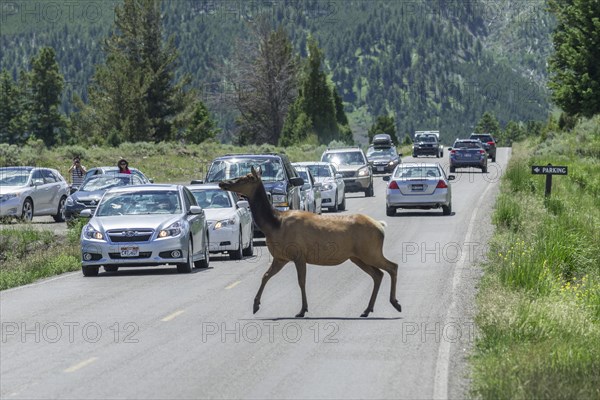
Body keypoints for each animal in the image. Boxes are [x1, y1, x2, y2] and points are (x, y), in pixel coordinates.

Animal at [218, 167, 400, 318]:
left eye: (245, 178)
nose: (222, 182)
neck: (273, 225)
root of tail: (381, 227)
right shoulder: (281, 257)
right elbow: (265, 276)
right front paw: (256, 305)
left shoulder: (298, 254)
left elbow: (301, 281)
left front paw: (302, 310)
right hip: (357, 256)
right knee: (378, 274)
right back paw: (367, 309)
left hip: (370, 251)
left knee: (392, 266)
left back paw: (395, 303)